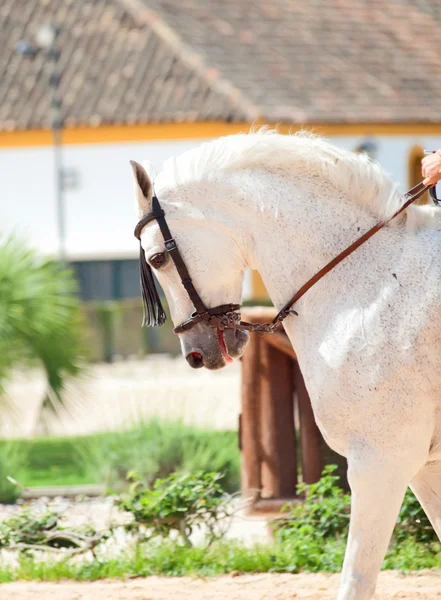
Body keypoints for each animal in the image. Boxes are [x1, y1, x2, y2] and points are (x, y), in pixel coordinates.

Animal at [129, 131, 440, 600]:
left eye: (156, 259)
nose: (196, 355)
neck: (369, 286)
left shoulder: (381, 460)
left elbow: (355, 581)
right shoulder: (424, 466)